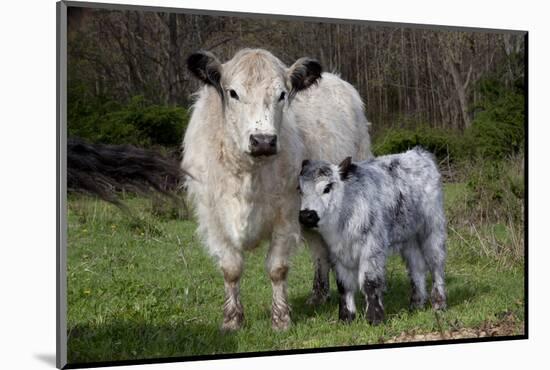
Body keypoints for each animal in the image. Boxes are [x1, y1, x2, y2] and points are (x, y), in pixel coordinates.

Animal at [183, 48, 374, 330]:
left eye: (282, 94)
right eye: (233, 93)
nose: (263, 140)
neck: (248, 176)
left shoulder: (287, 214)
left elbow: (277, 268)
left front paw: (281, 319)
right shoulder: (214, 218)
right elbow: (230, 269)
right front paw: (232, 320)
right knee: (320, 250)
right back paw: (318, 295)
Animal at [302, 147, 448, 324]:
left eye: (327, 188)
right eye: (300, 190)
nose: (306, 215)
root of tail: (418, 152)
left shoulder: (371, 248)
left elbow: (369, 282)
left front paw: (374, 318)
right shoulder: (337, 253)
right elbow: (344, 285)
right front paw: (346, 318)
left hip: (432, 228)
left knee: (436, 264)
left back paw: (439, 304)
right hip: (409, 236)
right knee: (417, 267)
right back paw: (416, 304)